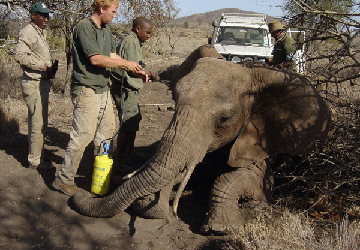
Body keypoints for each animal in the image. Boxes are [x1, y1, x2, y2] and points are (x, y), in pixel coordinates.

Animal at [71, 45, 334, 236]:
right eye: (175, 99)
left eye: (225, 119)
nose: (79, 196)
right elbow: (183, 168)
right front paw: (150, 203)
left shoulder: (258, 139)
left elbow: (247, 179)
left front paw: (220, 229)